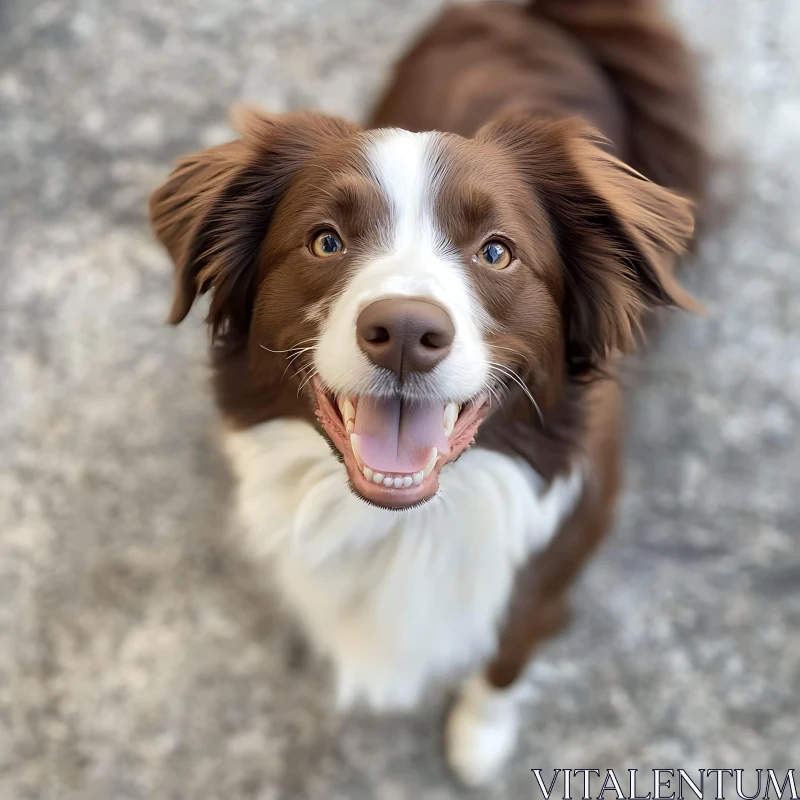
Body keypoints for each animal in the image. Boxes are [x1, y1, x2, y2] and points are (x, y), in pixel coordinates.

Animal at [150, 0, 708, 788]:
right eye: (326, 240)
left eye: (497, 251)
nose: (407, 332)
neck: (407, 525)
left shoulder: (550, 577)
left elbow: (505, 658)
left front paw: (479, 739)